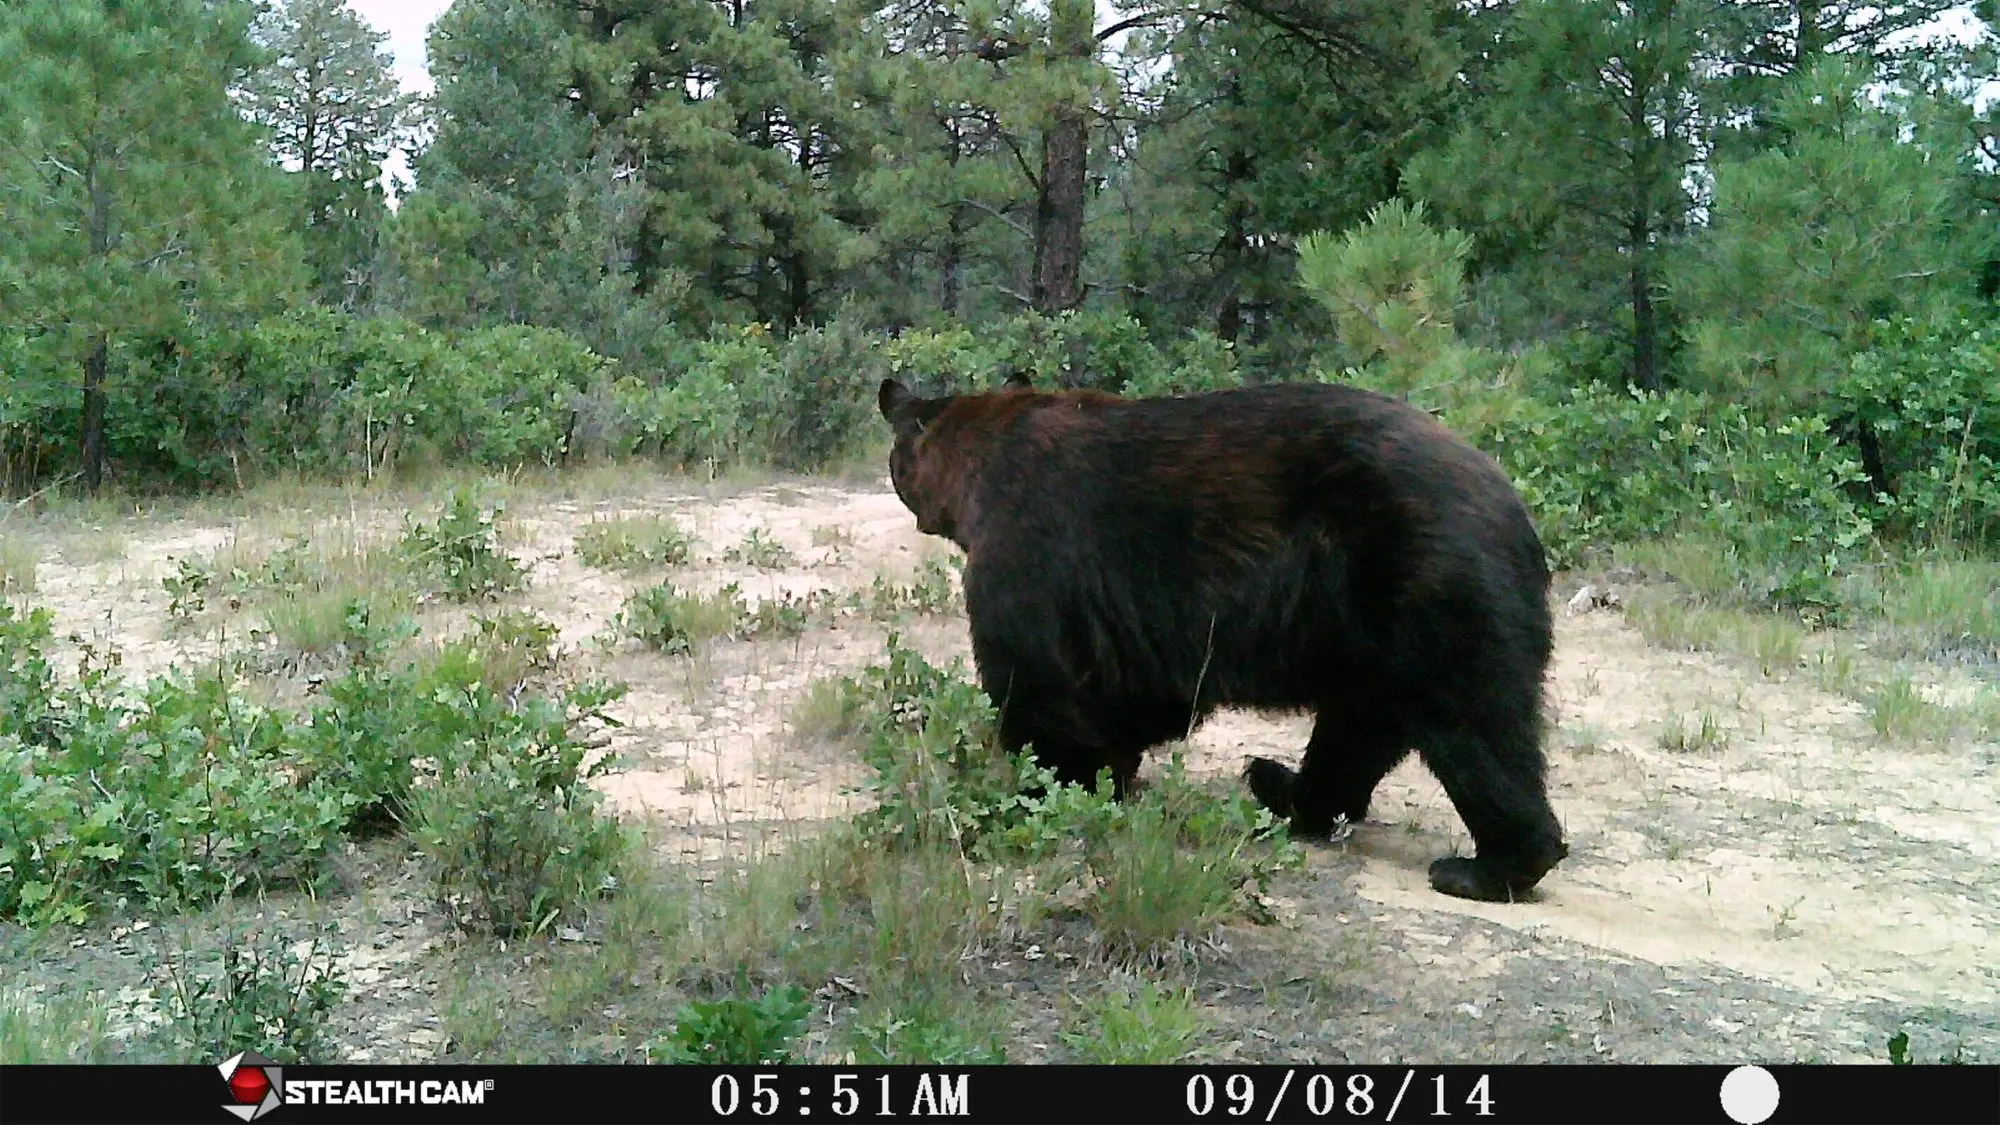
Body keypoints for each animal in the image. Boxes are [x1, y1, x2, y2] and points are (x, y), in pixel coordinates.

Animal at [876, 372, 1560, 896]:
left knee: (1473, 725)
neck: (984, 458)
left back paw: (1489, 866)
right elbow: (1134, 693)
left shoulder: (1030, 550)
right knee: (1359, 725)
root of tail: (1516, 511)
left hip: (1430, 582)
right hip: (1372, 627)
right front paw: (1115, 768)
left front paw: (1051, 784)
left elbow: (1036, 678)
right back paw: (1286, 790)